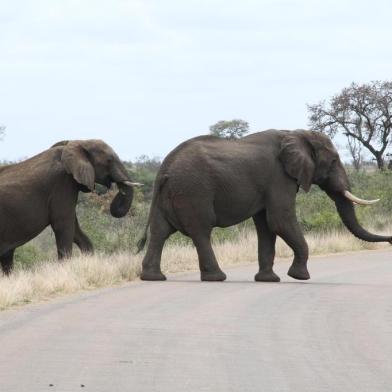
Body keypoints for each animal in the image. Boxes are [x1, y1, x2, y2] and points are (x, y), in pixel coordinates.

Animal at [139, 129, 392, 282]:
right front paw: (300, 277)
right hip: (193, 191)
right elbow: (280, 221)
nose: (390, 240)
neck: (295, 134)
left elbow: (266, 227)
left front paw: (268, 280)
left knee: (160, 232)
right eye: (333, 162)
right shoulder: (278, 178)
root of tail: (164, 168)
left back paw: (153, 277)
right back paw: (217, 278)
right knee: (201, 231)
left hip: (169, 194)